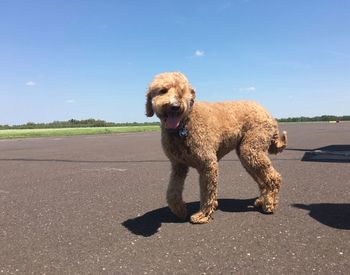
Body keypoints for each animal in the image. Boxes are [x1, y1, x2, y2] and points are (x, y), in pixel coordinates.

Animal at [145, 73, 288, 224]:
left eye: (182, 92)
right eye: (162, 91)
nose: (175, 106)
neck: (183, 125)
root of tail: (269, 114)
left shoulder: (208, 164)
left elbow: (207, 191)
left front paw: (202, 215)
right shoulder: (178, 166)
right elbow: (172, 192)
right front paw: (180, 210)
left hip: (251, 149)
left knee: (274, 177)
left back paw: (270, 204)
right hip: (248, 155)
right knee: (263, 180)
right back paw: (262, 200)